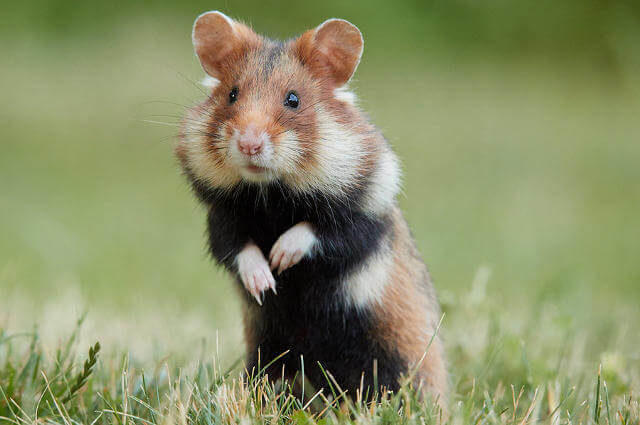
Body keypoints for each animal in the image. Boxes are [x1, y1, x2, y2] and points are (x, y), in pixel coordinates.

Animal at [176, 11, 448, 405]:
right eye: (232, 94)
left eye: (293, 99)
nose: (249, 144)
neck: (272, 194)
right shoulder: (221, 221)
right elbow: (239, 250)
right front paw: (265, 283)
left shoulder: (363, 216)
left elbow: (317, 232)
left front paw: (280, 258)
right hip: (268, 351)